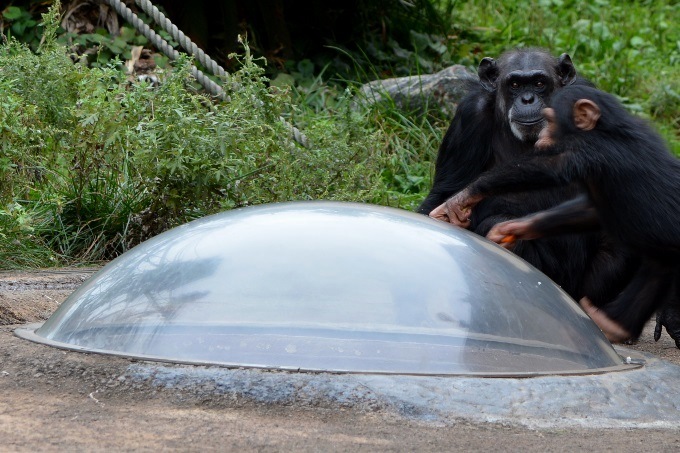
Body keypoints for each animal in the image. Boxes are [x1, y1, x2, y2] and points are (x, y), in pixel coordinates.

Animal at [436, 85, 680, 342]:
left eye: (551, 120)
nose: (543, 133)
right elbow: (588, 210)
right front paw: (516, 227)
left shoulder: (587, 150)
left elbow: (551, 168)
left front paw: (463, 198)